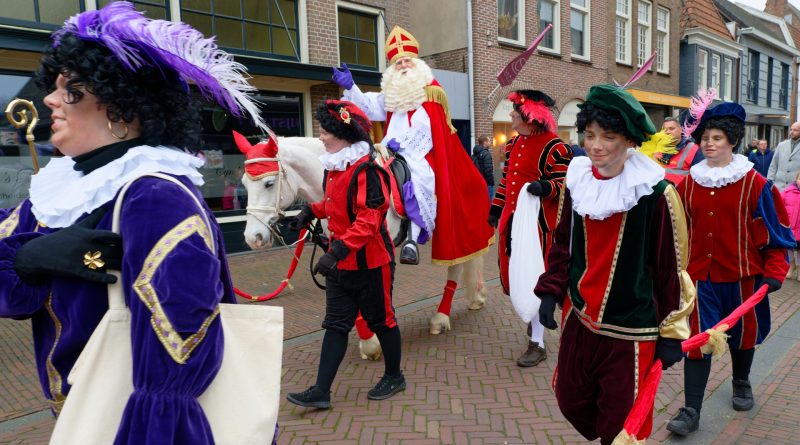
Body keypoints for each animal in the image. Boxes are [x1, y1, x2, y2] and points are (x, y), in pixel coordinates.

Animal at [236, 134, 488, 358]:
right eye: (244, 184)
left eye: (269, 183)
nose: (252, 237)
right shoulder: (340, 250)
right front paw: (369, 341)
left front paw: (373, 341)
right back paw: (475, 297)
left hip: (452, 234)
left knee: (455, 268)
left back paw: (441, 317)